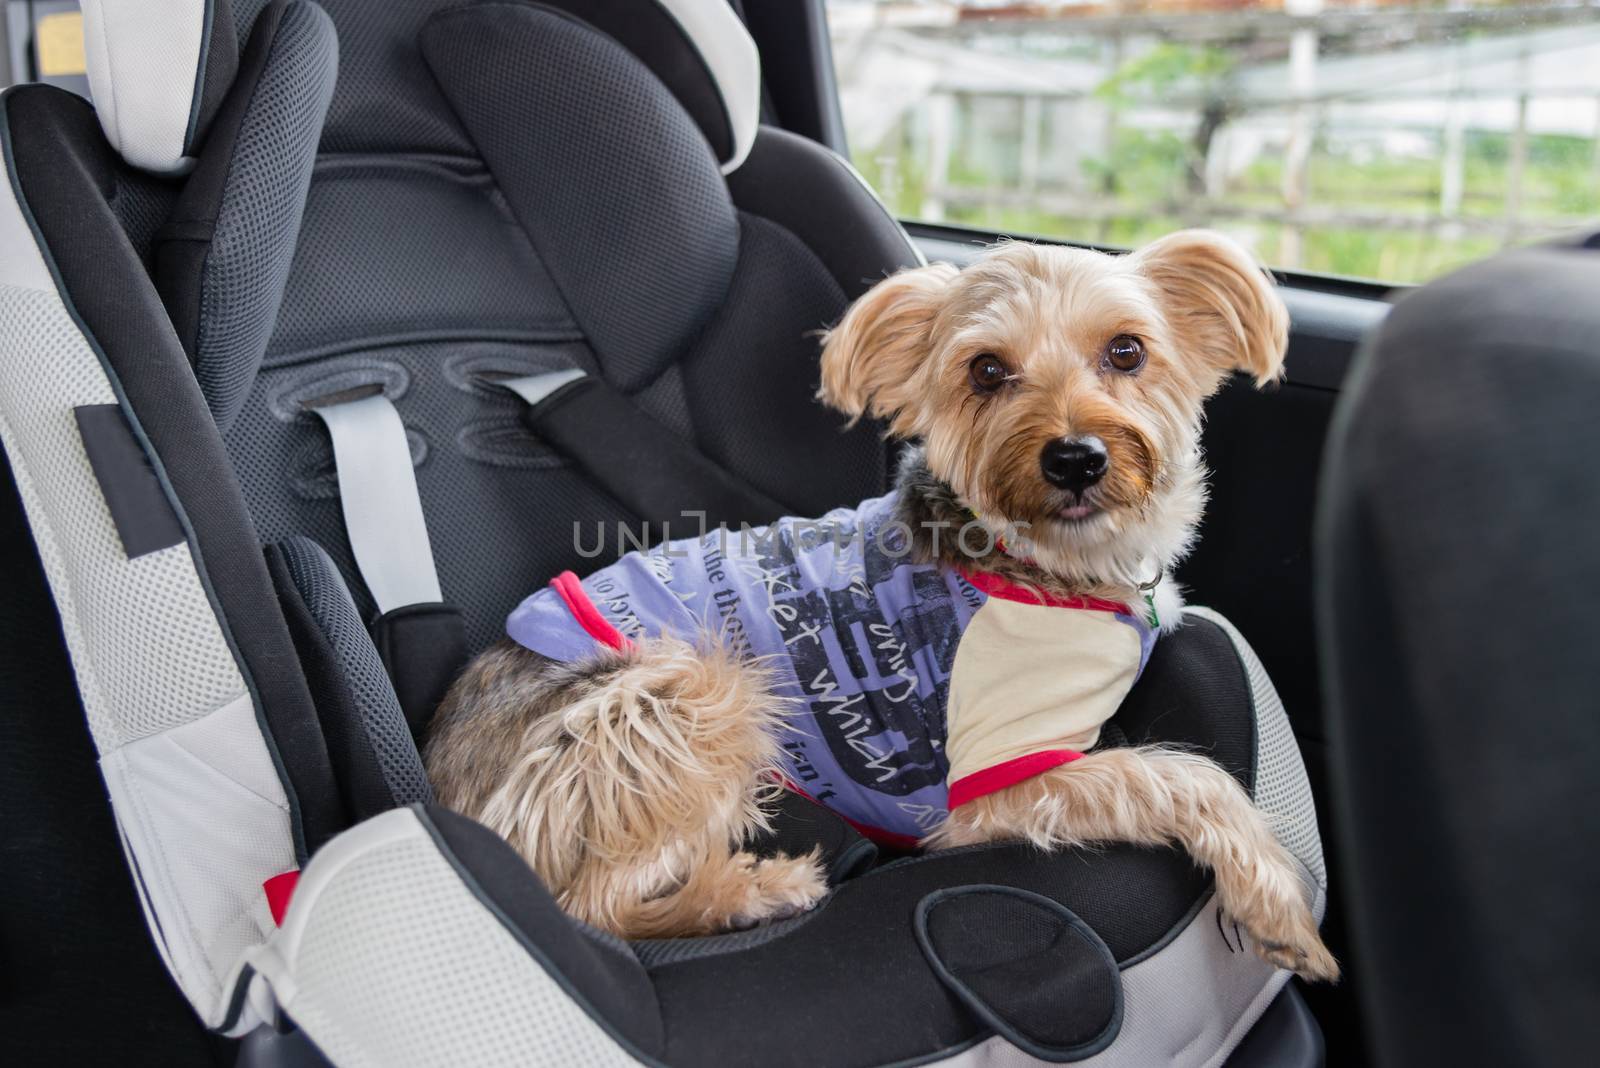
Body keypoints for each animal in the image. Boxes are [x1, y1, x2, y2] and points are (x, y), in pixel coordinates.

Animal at [422, 230, 1337, 978]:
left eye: (1126, 351)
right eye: (986, 371)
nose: (1075, 457)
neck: (1048, 560)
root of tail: (441, 767)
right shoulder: (998, 783)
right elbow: (1183, 775)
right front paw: (1277, 904)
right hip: (689, 697)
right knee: (593, 907)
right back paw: (751, 892)